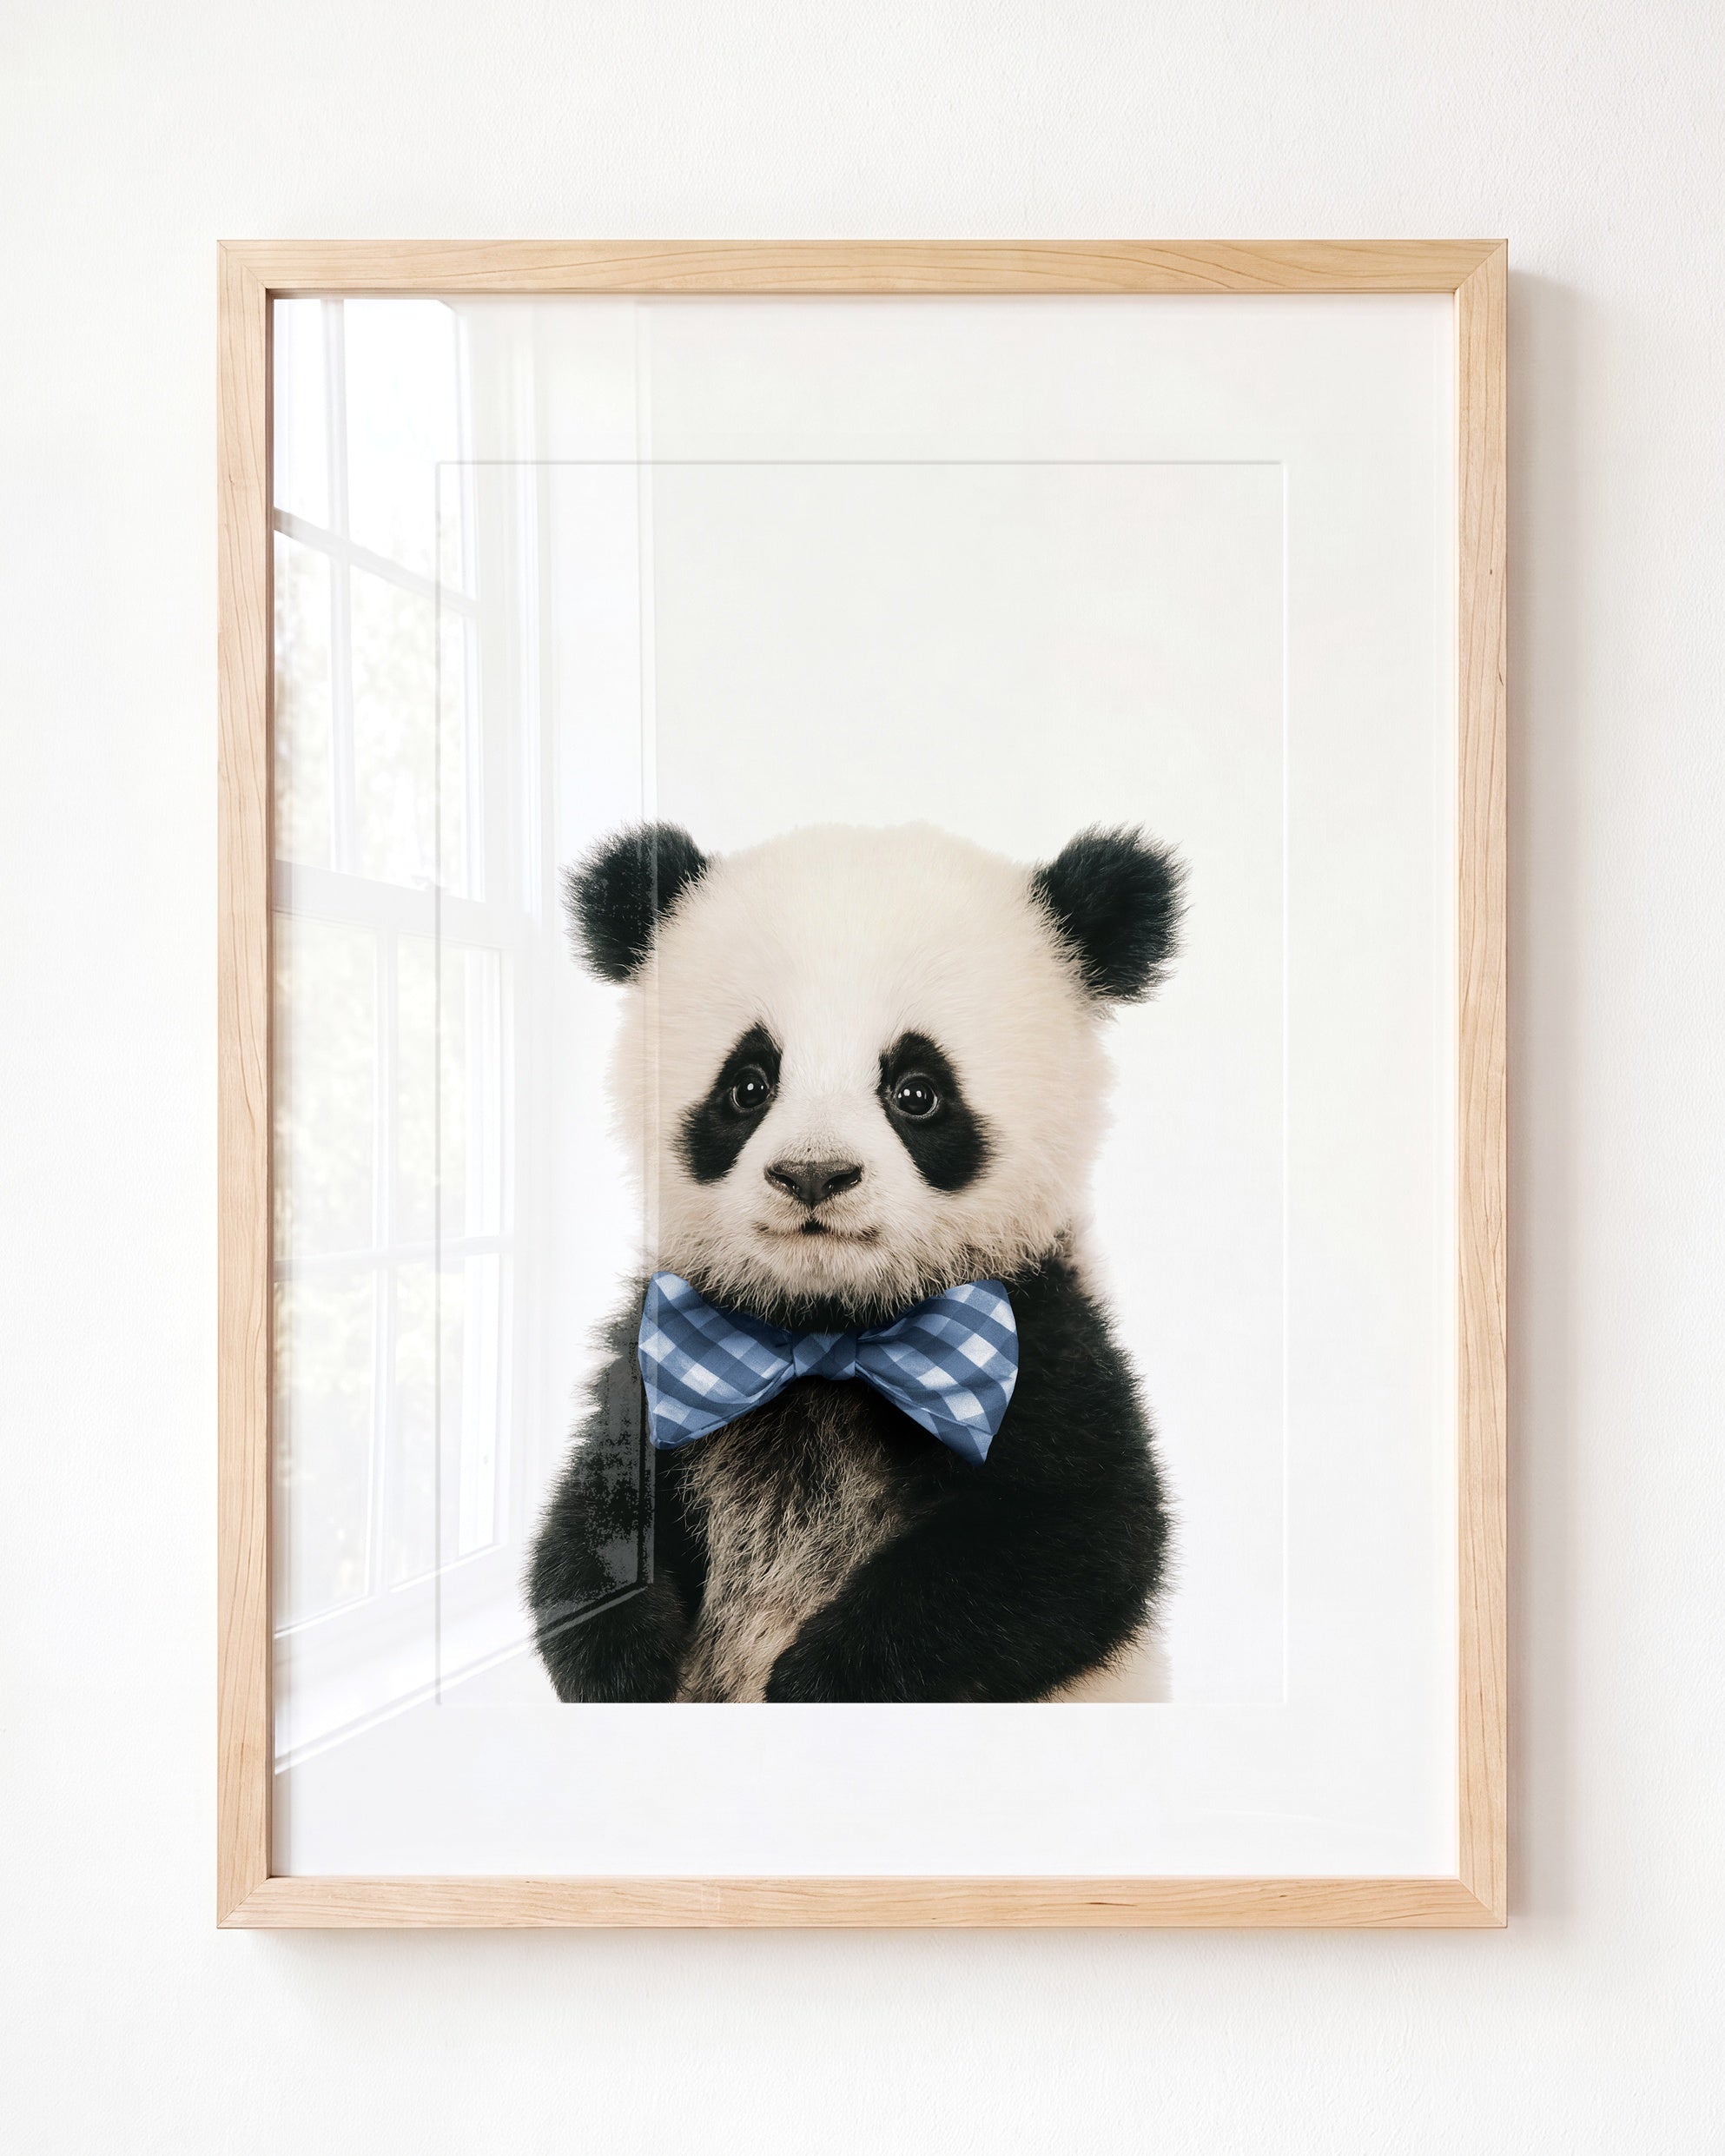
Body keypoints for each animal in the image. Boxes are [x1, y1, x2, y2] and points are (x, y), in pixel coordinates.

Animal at [528, 818, 1183, 1703]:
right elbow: (591, 1520)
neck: (828, 1332)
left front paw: (818, 1680)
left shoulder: (1045, 1340)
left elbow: (1075, 1539)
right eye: (748, 1085)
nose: (814, 1174)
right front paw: (625, 1663)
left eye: (917, 1091)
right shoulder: (659, 1348)